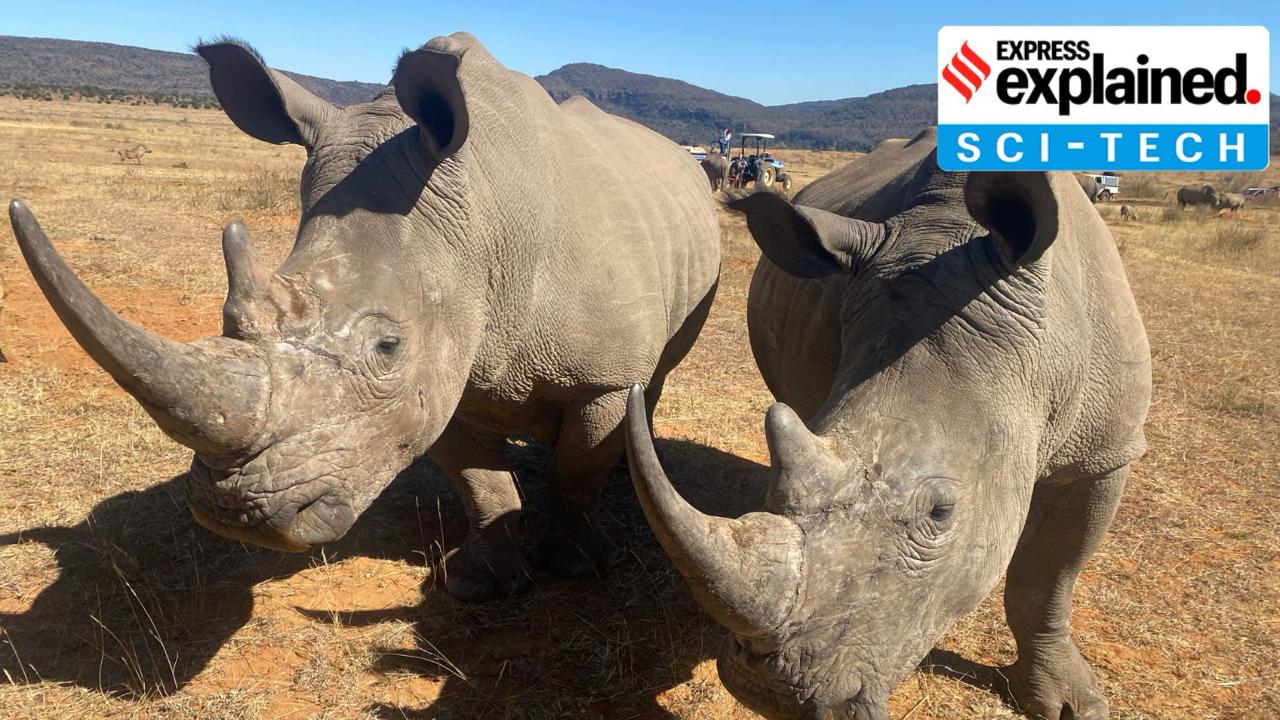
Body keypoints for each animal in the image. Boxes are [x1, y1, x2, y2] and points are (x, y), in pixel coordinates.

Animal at [9, 32, 721, 602]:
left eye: (386, 346)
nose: (238, 512)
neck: (479, 228)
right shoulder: (444, 368)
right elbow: (480, 482)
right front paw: (479, 584)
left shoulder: (599, 377)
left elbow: (578, 469)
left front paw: (573, 565)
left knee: (653, 377)